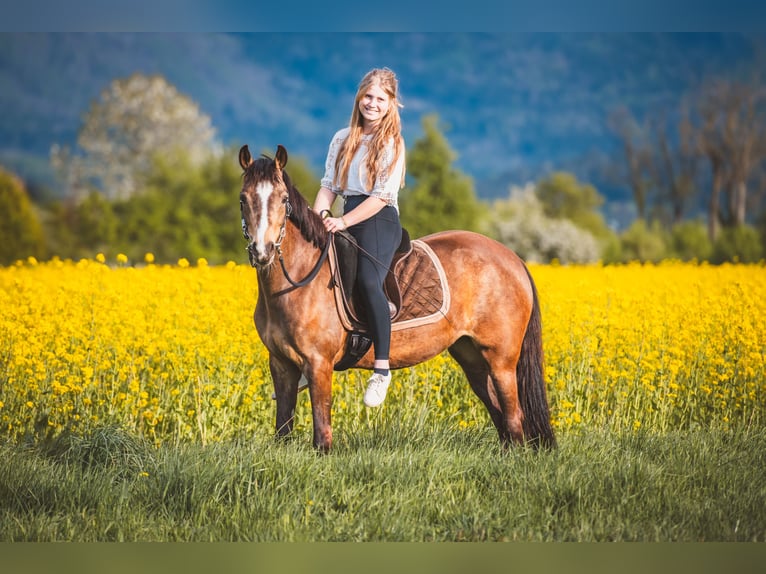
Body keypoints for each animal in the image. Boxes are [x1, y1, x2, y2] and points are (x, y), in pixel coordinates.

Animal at [238, 144, 555, 453]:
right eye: (243, 199)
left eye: (282, 199)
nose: (262, 251)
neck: (300, 282)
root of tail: (512, 258)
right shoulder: (281, 364)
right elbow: (283, 428)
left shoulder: (318, 364)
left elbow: (322, 434)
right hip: (473, 358)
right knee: (499, 414)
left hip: (501, 360)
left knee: (514, 418)